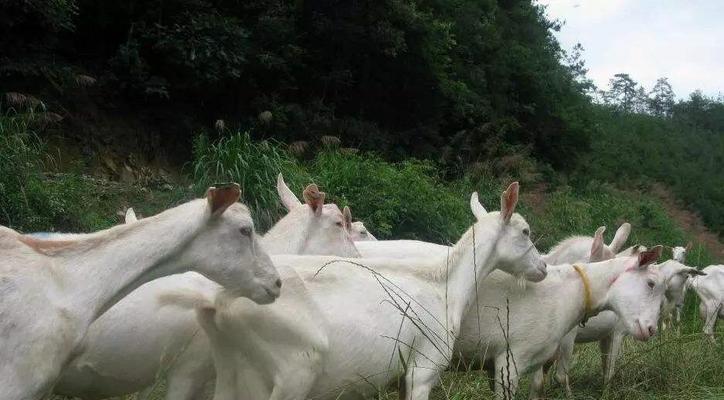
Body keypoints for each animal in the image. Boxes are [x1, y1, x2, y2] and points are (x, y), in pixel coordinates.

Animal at [161, 182, 544, 400]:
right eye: (525, 231)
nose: (542, 268)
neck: (445, 286)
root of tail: (219, 306)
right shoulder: (423, 368)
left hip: (230, 374)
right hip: (292, 374)